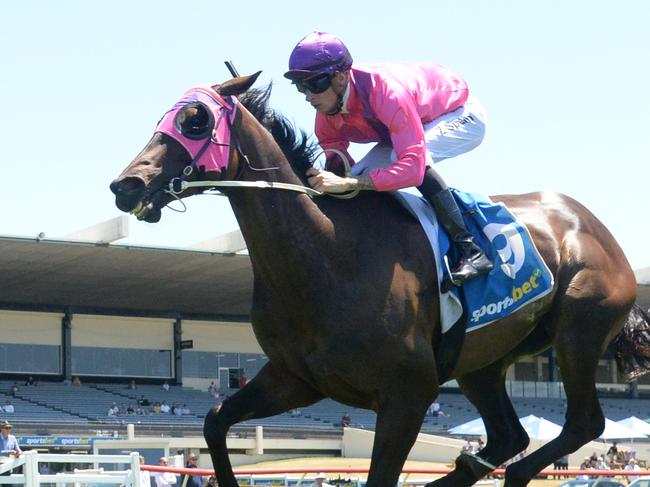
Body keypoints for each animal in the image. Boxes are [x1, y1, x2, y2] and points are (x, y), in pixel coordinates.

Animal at [109, 73, 636, 487]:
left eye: (195, 119)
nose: (126, 185)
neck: (326, 253)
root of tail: (590, 224)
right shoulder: (295, 379)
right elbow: (216, 422)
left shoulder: (408, 395)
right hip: (483, 360)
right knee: (511, 435)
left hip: (579, 330)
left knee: (582, 424)